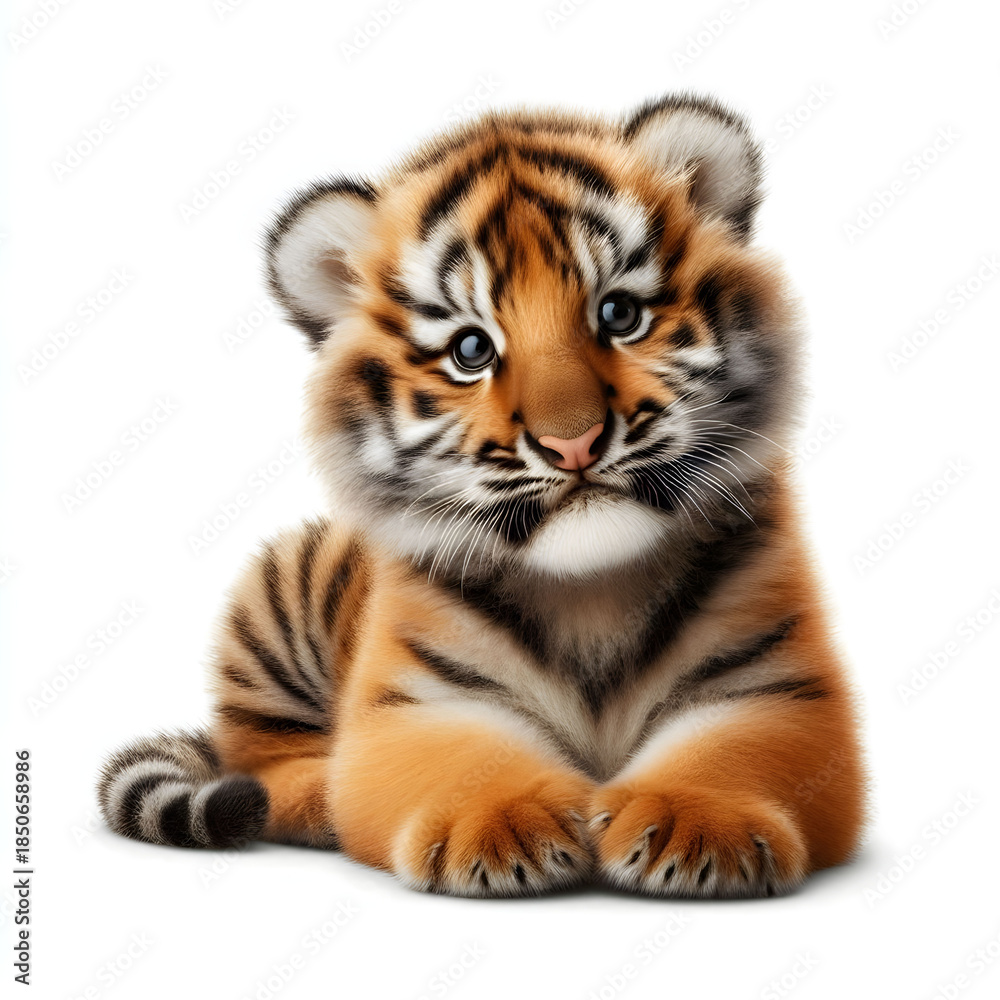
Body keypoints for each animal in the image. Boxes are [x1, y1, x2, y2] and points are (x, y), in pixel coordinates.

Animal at [97, 93, 867, 898]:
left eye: (620, 315)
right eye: (472, 350)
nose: (573, 443)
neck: (591, 591)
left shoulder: (775, 685)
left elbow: (728, 753)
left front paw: (693, 823)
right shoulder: (420, 702)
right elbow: (468, 762)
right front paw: (503, 825)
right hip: (277, 592)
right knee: (260, 754)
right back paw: (315, 796)